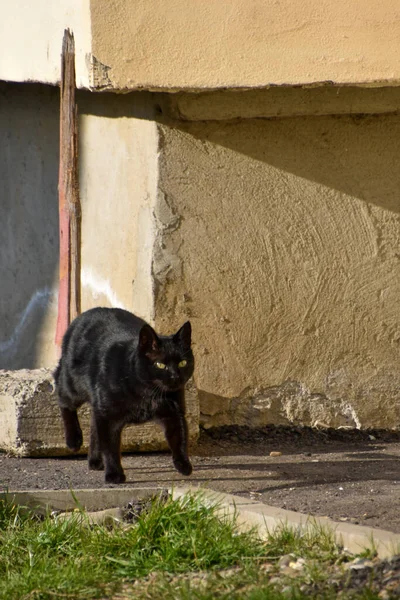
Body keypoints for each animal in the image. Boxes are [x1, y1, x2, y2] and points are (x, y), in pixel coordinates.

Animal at [54, 308, 195, 486]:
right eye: (160, 365)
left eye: (183, 363)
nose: (175, 376)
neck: (148, 392)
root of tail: (82, 316)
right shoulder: (109, 418)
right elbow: (111, 447)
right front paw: (114, 474)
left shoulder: (174, 413)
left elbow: (179, 437)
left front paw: (183, 464)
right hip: (74, 387)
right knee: (63, 399)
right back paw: (73, 440)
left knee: (93, 424)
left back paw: (94, 460)